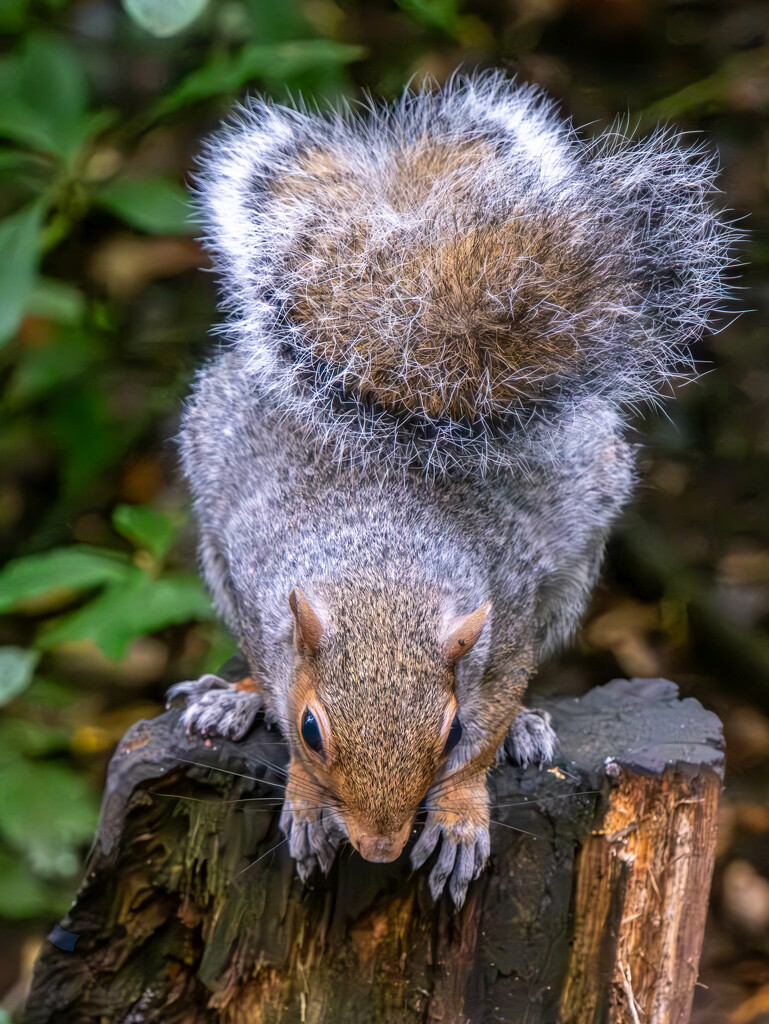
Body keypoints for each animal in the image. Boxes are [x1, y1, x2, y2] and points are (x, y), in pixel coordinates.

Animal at [166, 70, 733, 905]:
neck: (383, 563)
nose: (377, 849)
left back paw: (528, 726)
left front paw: (461, 812)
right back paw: (227, 698)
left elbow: (491, 717)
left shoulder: (511, 613)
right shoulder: (258, 592)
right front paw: (301, 795)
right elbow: (275, 682)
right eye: (311, 730)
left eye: (451, 730)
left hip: (570, 578)